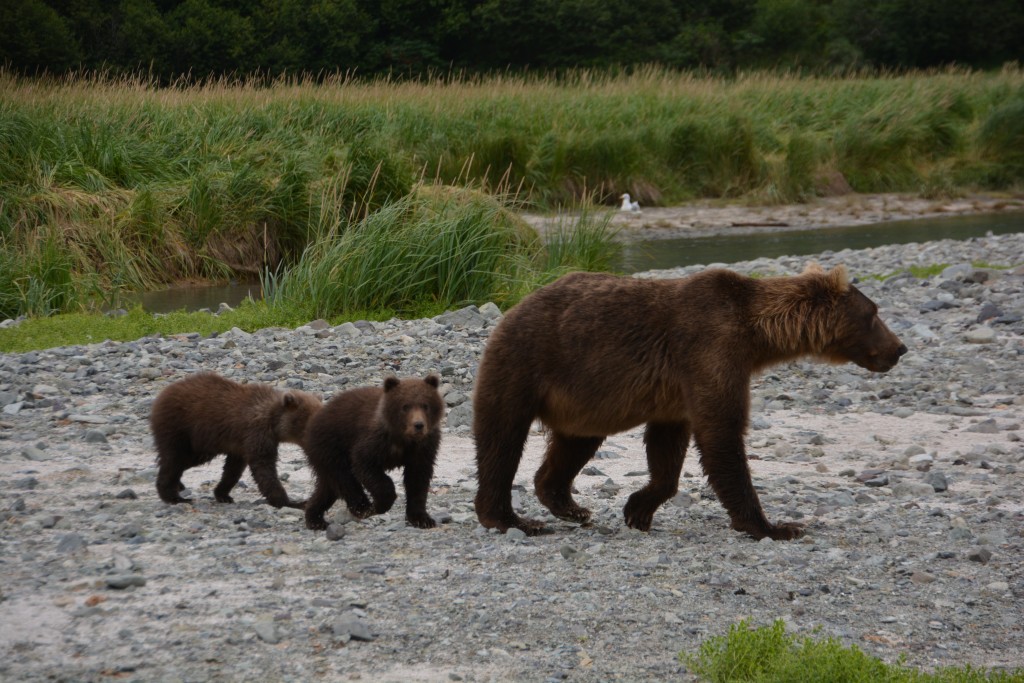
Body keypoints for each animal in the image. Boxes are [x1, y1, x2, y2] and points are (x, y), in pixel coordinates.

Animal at [468, 266, 905, 540]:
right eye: (873, 314)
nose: (899, 348)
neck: (757, 336)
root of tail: (513, 307)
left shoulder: (676, 390)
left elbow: (668, 449)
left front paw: (638, 509)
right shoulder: (710, 350)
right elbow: (721, 435)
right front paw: (776, 526)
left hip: (583, 399)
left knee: (574, 443)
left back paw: (570, 506)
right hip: (525, 362)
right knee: (501, 439)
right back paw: (511, 519)